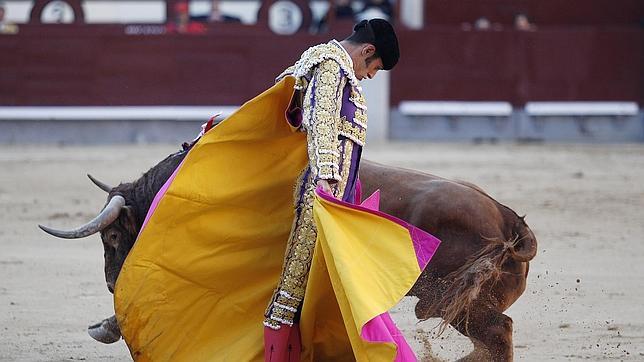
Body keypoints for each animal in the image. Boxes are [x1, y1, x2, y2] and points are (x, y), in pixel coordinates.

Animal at [40, 148, 540, 362]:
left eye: (112, 238)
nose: (111, 281)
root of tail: (508, 218)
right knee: (495, 337)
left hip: (447, 300)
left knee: (498, 333)